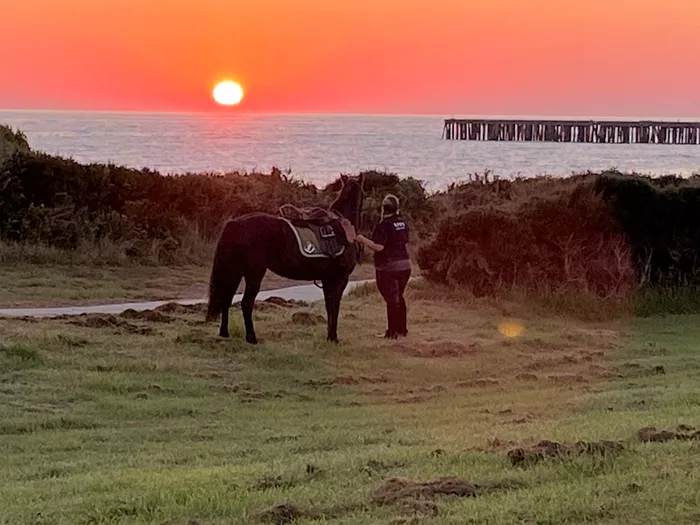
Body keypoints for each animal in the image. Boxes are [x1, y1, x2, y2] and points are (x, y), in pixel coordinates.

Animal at [205, 173, 365, 344]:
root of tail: (236, 222)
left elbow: (330, 307)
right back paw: (252, 338)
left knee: (226, 299)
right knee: (246, 303)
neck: (343, 228)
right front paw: (333, 338)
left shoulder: (328, 280)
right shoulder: (340, 279)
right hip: (254, 273)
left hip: (234, 271)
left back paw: (224, 332)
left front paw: (330, 336)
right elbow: (334, 307)